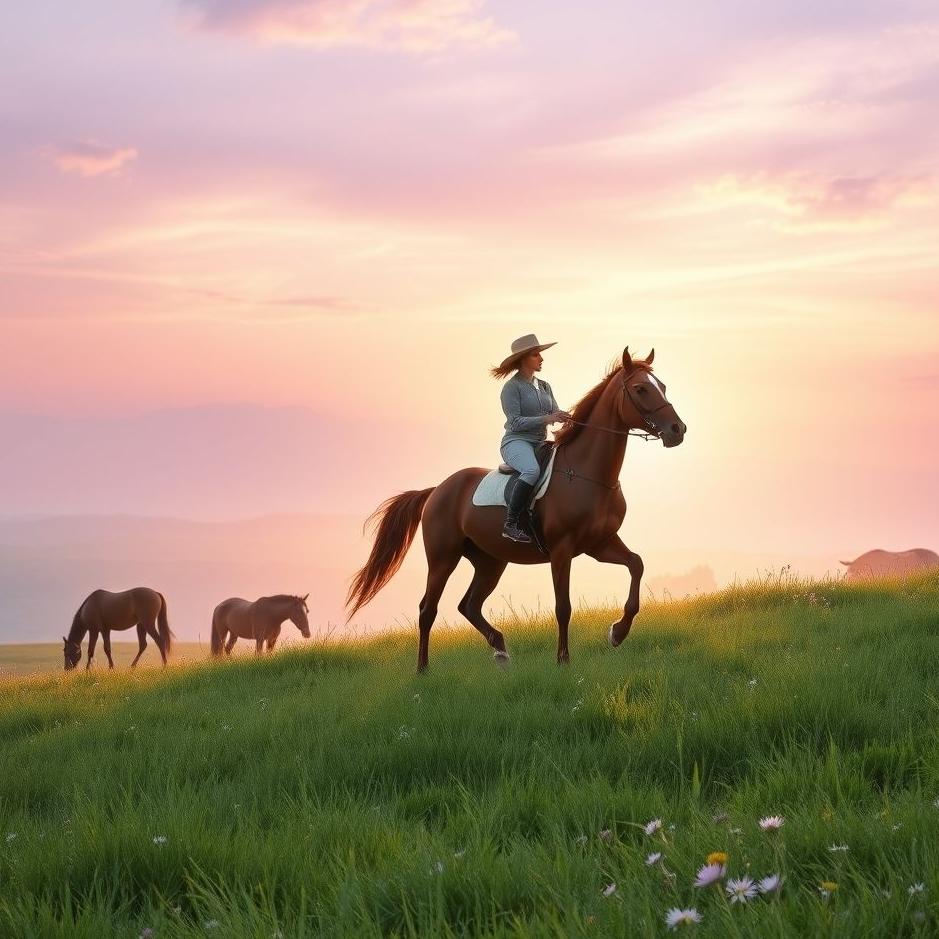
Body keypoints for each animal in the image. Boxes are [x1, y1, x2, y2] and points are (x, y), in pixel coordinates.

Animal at [346, 346, 686, 672]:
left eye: (663, 386)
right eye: (641, 389)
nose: (677, 429)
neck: (585, 473)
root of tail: (437, 490)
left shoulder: (599, 544)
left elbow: (636, 564)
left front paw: (618, 632)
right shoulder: (563, 550)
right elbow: (563, 606)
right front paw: (563, 661)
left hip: (490, 561)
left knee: (468, 605)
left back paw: (500, 650)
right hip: (443, 558)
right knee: (428, 609)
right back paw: (423, 670)